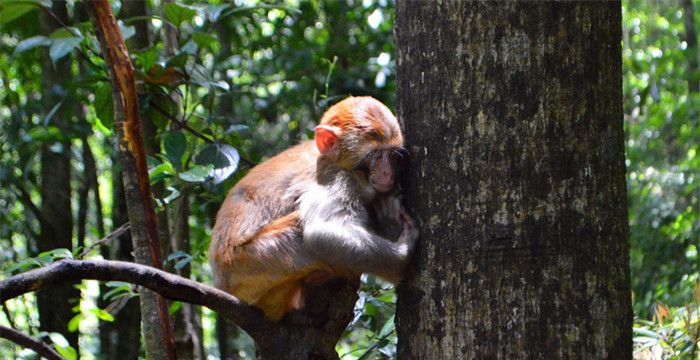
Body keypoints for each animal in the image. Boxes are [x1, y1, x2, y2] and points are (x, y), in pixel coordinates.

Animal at [208, 95, 416, 320]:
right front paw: (404, 257)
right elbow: (321, 231)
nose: (387, 173)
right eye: (375, 156)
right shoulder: (336, 178)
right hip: (250, 264)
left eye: (392, 155)